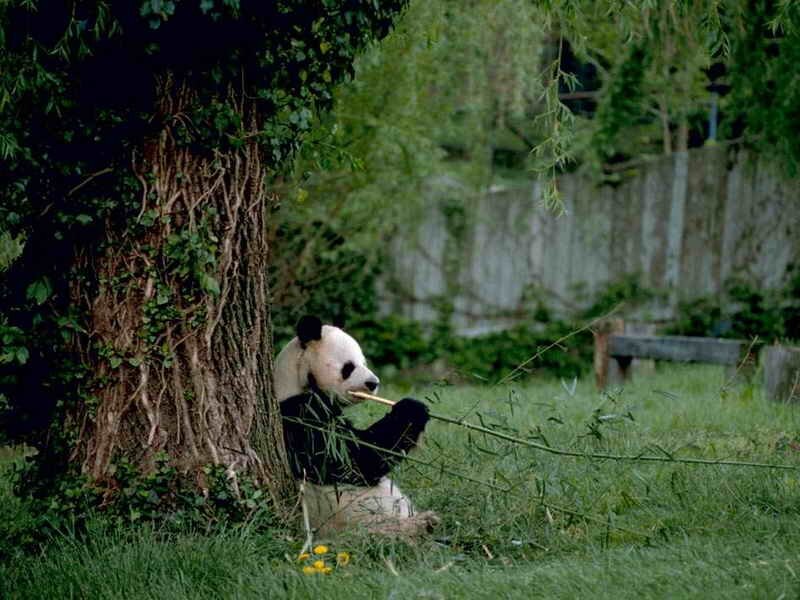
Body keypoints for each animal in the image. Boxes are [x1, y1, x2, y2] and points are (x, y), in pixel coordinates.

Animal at [275, 315, 438, 537]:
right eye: (349, 366)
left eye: (364, 362)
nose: (373, 383)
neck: (294, 381)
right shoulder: (300, 416)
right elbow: (355, 459)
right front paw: (412, 409)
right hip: (364, 521)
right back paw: (422, 526)